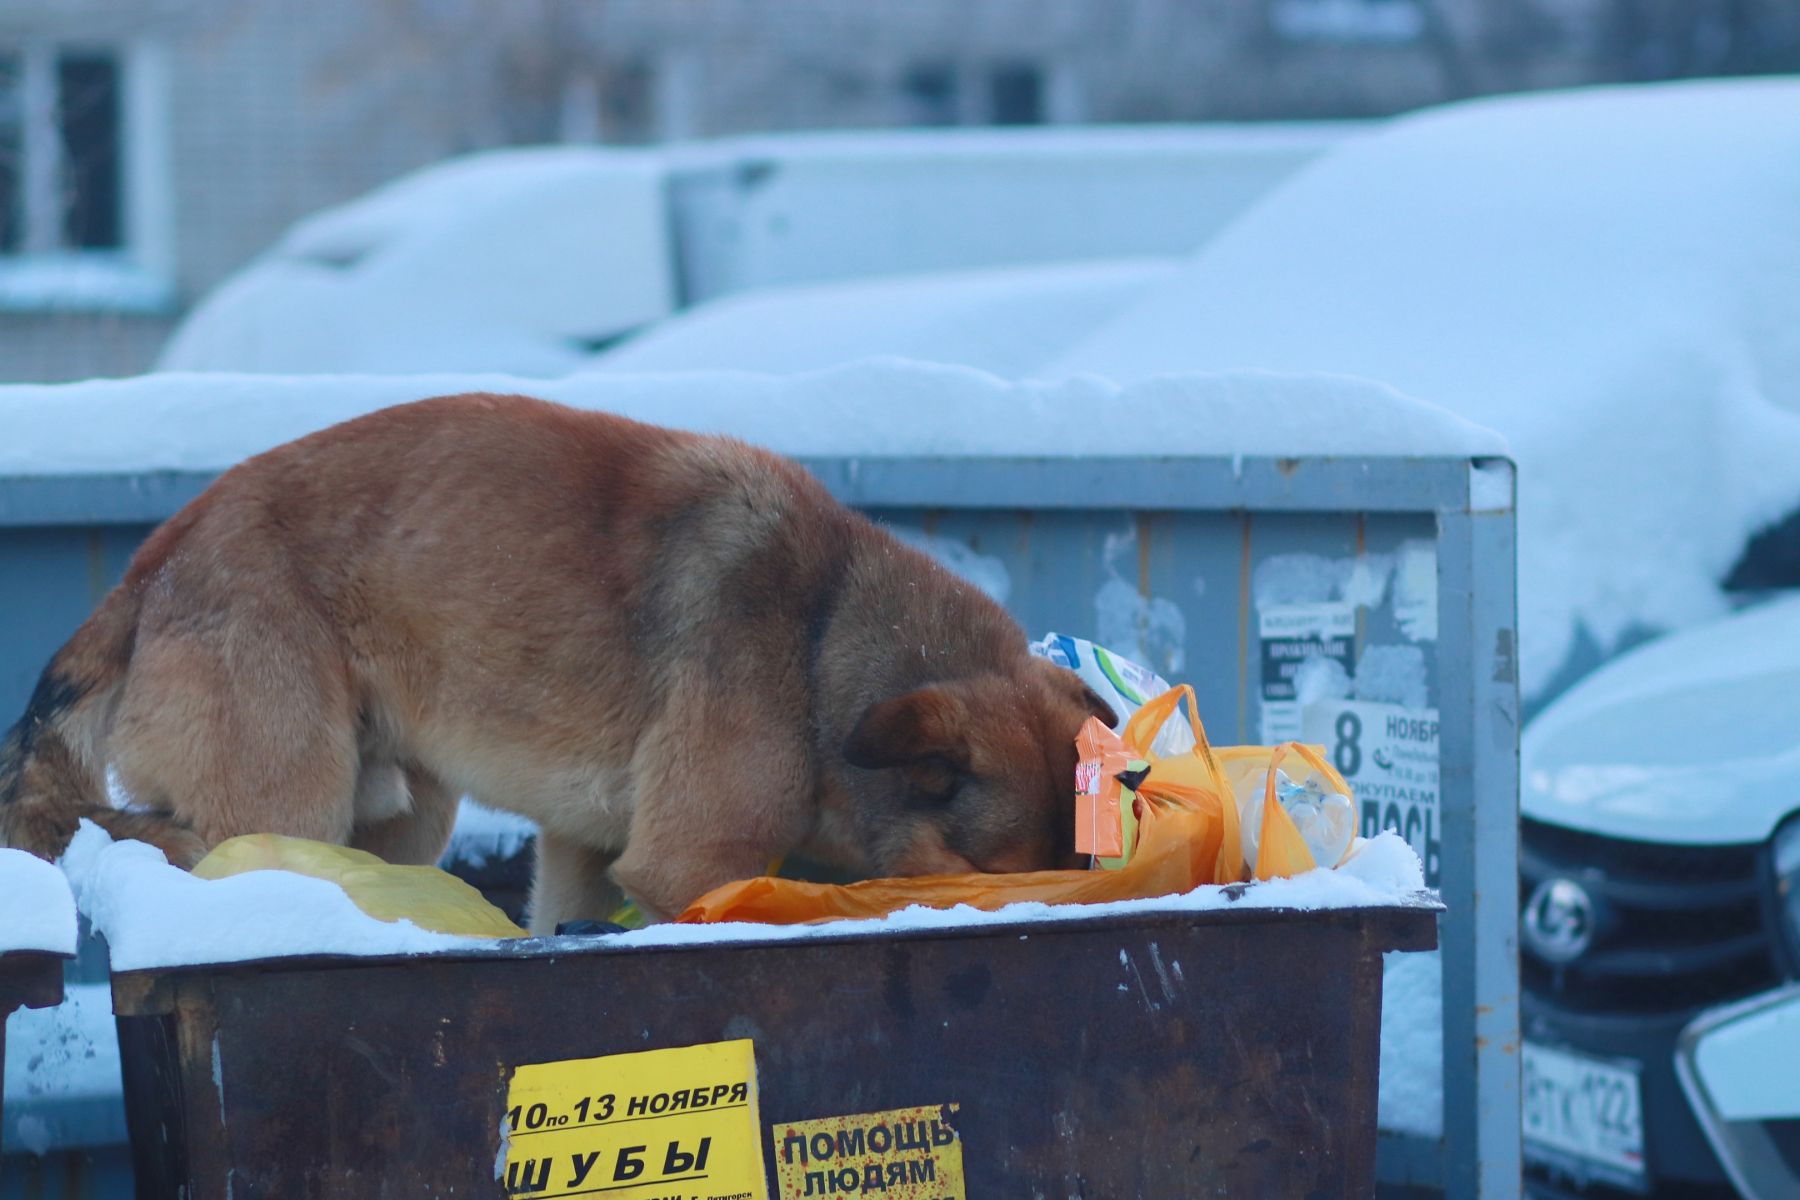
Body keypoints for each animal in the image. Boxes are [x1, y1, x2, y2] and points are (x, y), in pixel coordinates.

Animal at [0, 394, 1108, 928]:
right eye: (1001, 875)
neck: (823, 631)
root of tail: (154, 564)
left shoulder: (586, 857)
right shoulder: (690, 870)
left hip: (399, 820)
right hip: (286, 808)